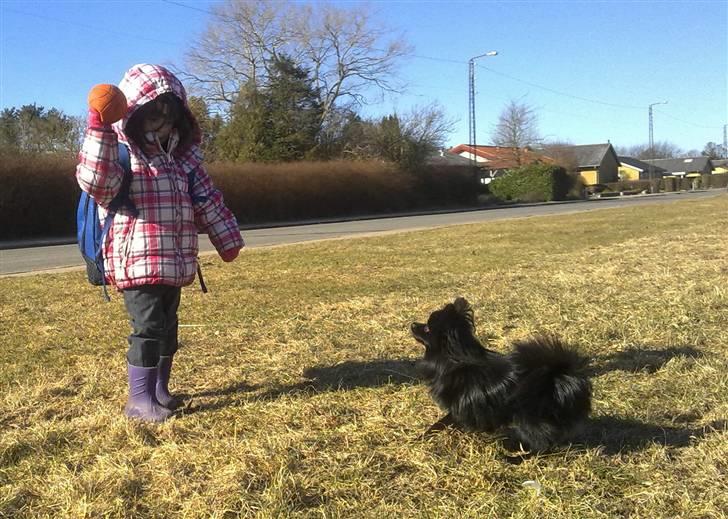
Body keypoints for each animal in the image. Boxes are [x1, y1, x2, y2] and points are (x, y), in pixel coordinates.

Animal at [410, 298, 592, 452]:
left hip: (529, 419)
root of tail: (562, 376)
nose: (412, 324)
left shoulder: (458, 409)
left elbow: (441, 424)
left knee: (541, 447)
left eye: (426, 328)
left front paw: (422, 437)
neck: (455, 361)